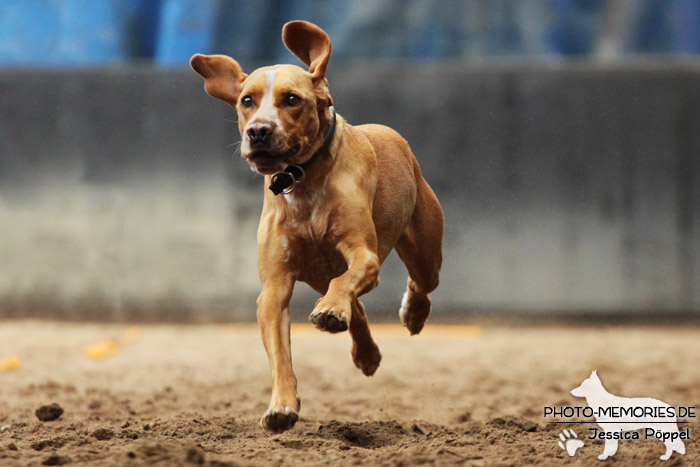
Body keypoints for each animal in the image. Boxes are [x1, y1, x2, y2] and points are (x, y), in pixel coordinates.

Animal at [190, 21, 442, 436]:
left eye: (292, 99)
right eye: (247, 100)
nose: (258, 130)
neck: (303, 183)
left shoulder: (364, 255)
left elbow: (348, 279)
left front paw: (331, 311)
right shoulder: (274, 287)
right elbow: (280, 353)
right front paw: (281, 406)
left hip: (424, 249)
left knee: (418, 282)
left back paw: (410, 314)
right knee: (356, 306)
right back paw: (365, 351)